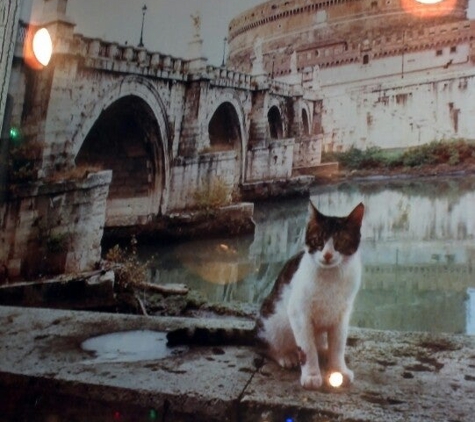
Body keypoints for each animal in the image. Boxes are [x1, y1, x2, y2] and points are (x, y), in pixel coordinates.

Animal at [256, 201, 364, 390]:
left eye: (340, 241)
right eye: (318, 241)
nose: (327, 255)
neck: (331, 276)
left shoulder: (342, 314)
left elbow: (338, 345)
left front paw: (338, 370)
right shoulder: (299, 312)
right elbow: (307, 348)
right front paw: (312, 375)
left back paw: (324, 351)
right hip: (271, 323)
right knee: (265, 345)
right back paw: (286, 355)